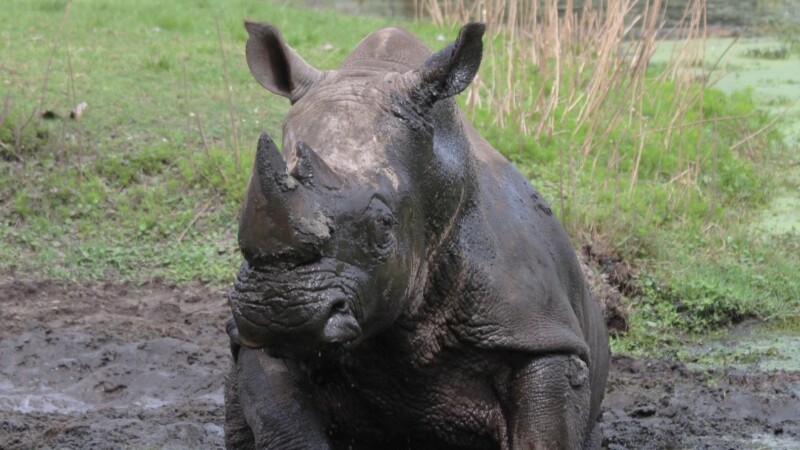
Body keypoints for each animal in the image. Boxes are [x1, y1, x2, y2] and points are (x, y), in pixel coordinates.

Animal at [222, 19, 608, 448]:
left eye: (384, 225)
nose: (280, 310)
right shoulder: (254, 342)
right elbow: (283, 421)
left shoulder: (540, 332)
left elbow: (544, 432)